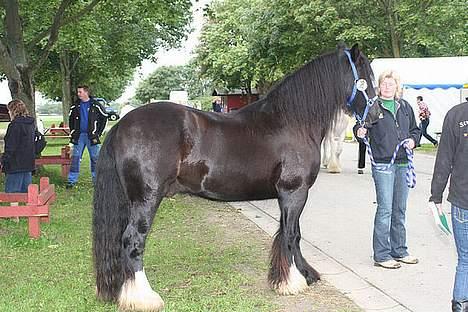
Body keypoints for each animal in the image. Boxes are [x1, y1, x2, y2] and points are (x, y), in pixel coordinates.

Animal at [93, 44, 378, 312]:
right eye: (365, 76)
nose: (376, 117)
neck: (292, 122)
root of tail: (121, 125)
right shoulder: (294, 192)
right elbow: (289, 234)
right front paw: (290, 282)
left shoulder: (290, 195)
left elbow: (294, 233)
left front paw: (304, 274)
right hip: (146, 198)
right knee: (133, 240)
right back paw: (144, 298)